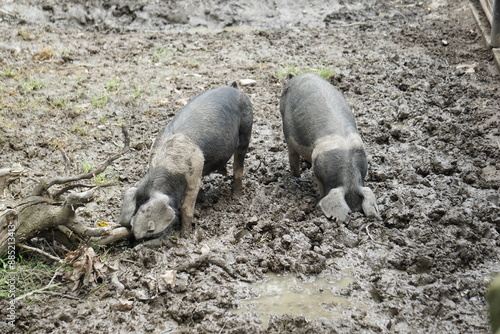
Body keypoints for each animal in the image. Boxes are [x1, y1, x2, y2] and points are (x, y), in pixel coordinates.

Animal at [118, 83, 252, 240]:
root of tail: (234, 88)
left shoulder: (195, 172)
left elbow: (186, 207)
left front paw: (185, 235)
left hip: (246, 130)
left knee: (239, 165)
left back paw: (236, 196)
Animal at [280, 73, 380, 222]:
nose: (355, 210)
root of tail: (298, 75)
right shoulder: (318, 170)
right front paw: (318, 204)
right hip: (285, 128)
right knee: (292, 154)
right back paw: (295, 175)